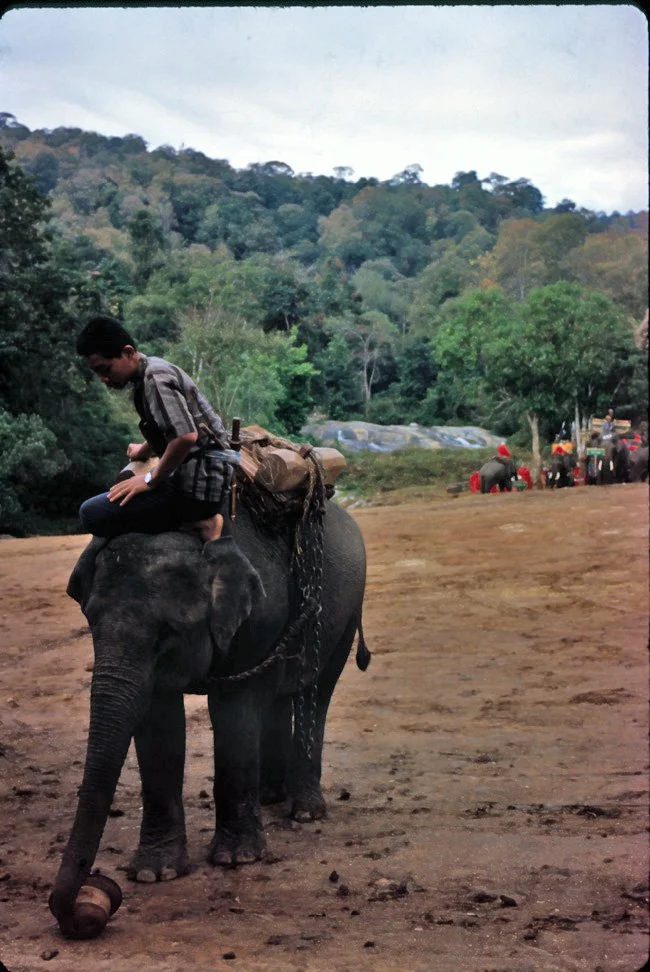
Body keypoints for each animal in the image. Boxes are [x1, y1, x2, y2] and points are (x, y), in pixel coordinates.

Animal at [49, 500, 369, 938]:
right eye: (90, 620)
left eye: (166, 633)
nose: (99, 895)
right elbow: (158, 721)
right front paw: (155, 874)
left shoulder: (258, 617)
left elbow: (234, 711)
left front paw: (237, 860)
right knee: (279, 697)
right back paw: (270, 797)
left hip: (346, 608)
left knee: (316, 691)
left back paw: (305, 811)